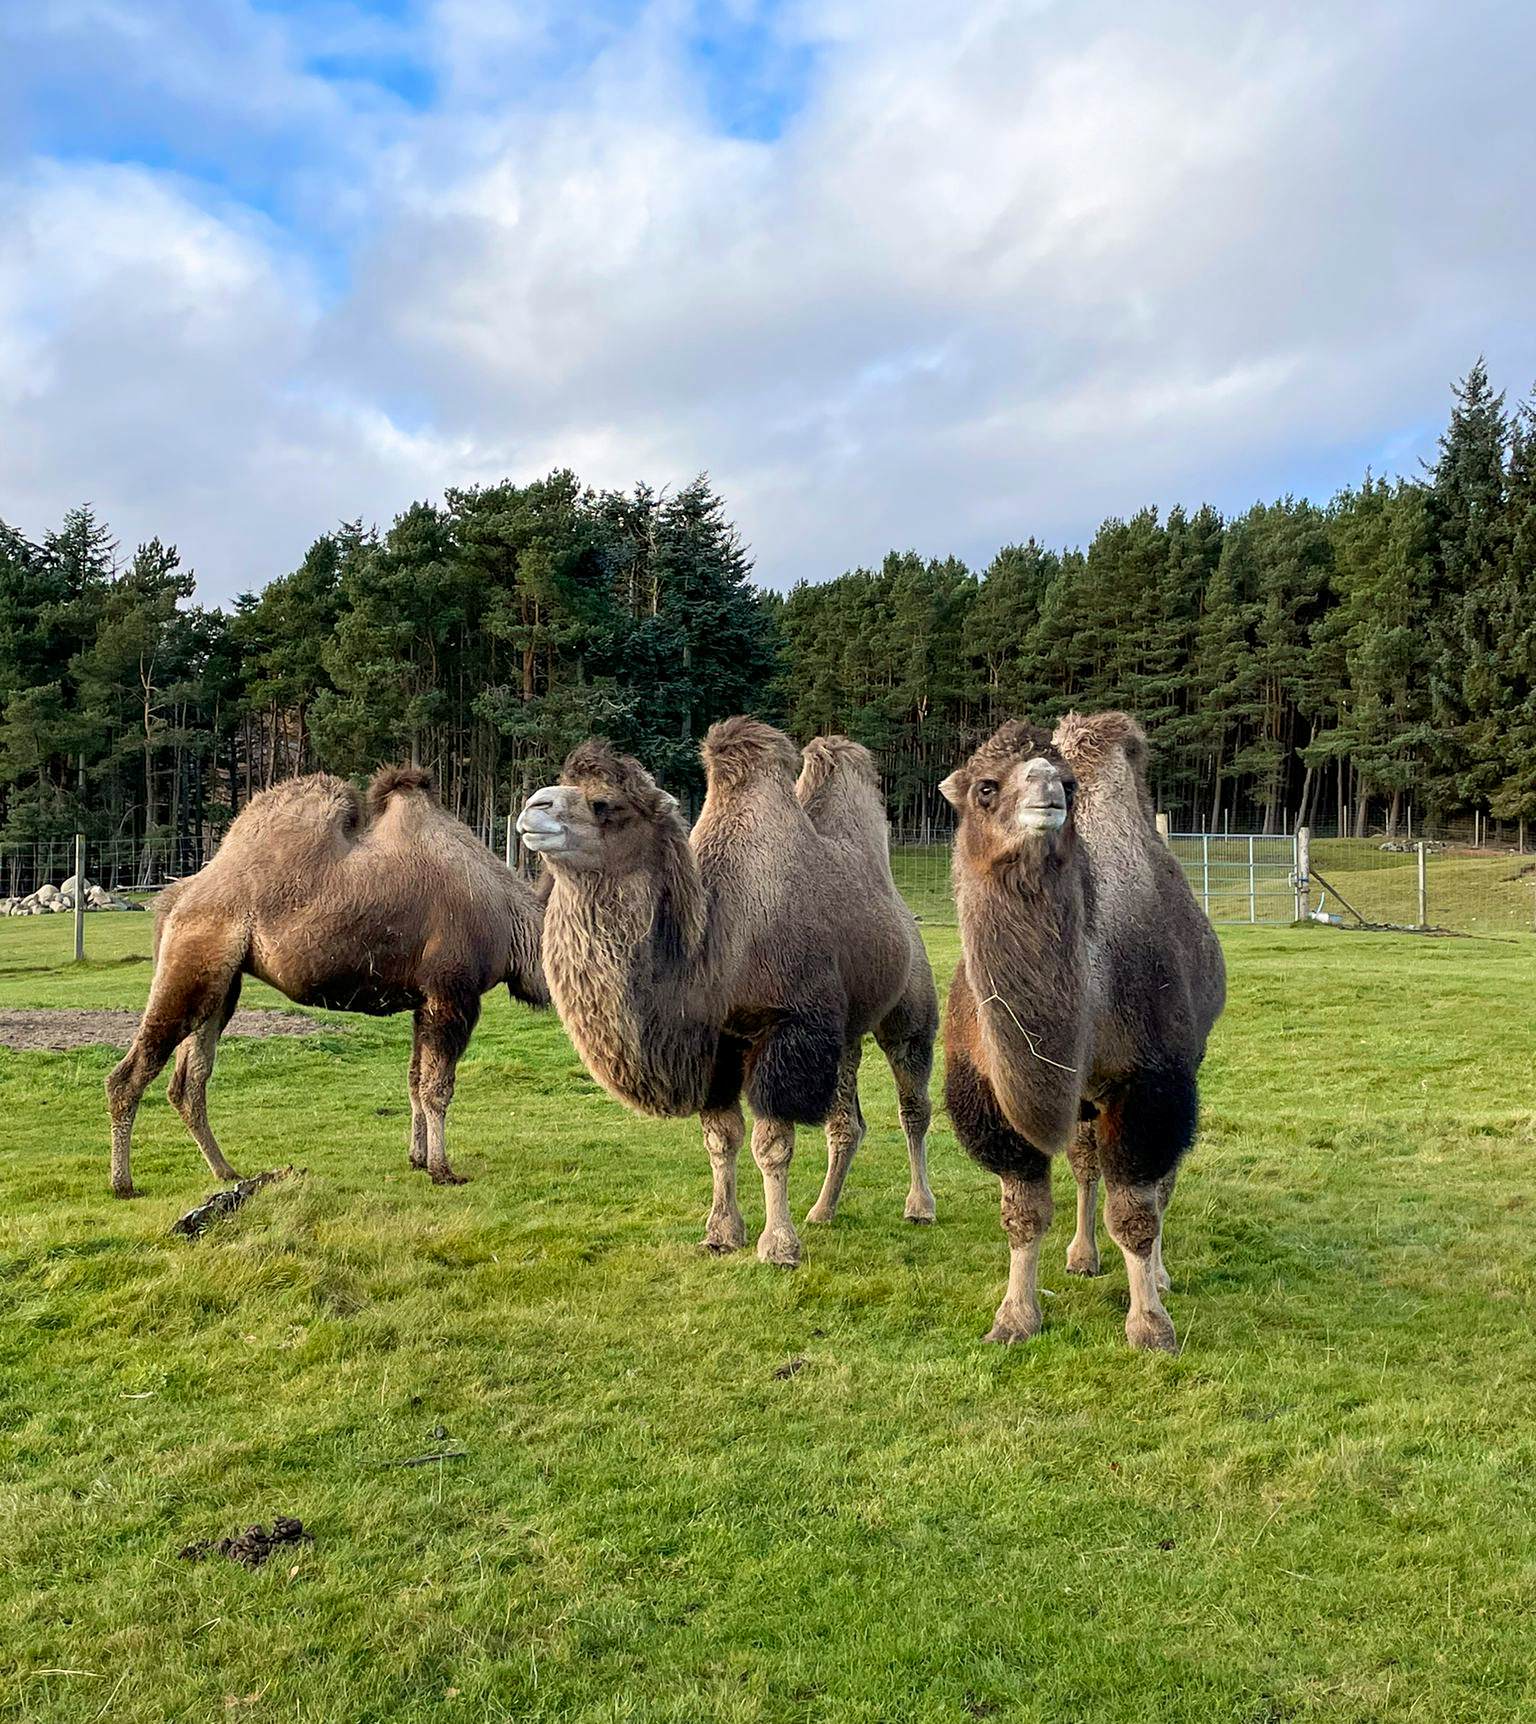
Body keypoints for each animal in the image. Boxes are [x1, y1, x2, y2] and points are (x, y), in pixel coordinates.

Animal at [103, 768, 548, 1199]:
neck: (513, 924)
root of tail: (174, 897)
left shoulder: (423, 1002)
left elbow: (414, 1081)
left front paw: (417, 1159)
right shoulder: (451, 994)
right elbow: (437, 1088)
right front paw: (443, 1170)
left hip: (221, 986)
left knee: (189, 1080)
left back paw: (226, 1171)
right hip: (190, 966)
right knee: (131, 1074)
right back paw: (123, 1184)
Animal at [517, 717, 937, 1268]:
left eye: (608, 804)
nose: (533, 807)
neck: (717, 948)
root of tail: (907, 918)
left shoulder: (786, 1028)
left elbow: (772, 1143)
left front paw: (778, 1247)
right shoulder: (717, 1045)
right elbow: (721, 1139)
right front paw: (721, 1233)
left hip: (909, 1012)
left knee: (913, 1107)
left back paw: (919, 1206)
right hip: (845, 1033)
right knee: (847, 1123)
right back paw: (823, 1210)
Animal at [937, 710, 1227, 1344]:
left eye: (1067, 785)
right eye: (985, 787)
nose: (1046, 784)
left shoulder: (1149, 1082)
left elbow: (1137, 1211)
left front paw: (1150, 1326)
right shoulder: (990, 1091)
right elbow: (1023, 1214)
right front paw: (1014, 1318)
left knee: (1160, 1180)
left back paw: (1159, 1275)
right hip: (1087, 1101)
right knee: (1087, 1164)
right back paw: (1082, 1256)